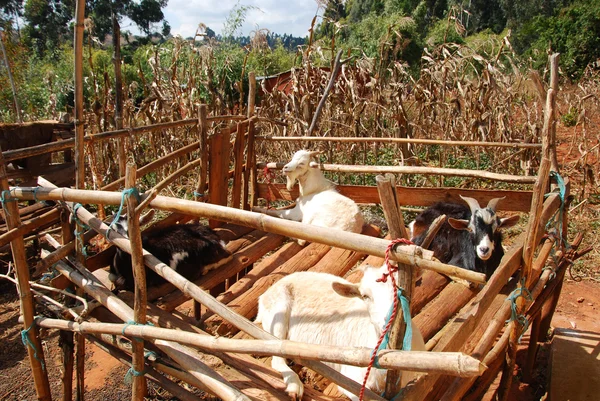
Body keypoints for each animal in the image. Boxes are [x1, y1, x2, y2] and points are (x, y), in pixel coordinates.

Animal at [255, 262, 424, 400]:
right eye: (365, 296)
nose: (389, 322)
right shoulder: (351, 380)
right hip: (278, 314)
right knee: (276, 356)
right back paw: (295, 387)